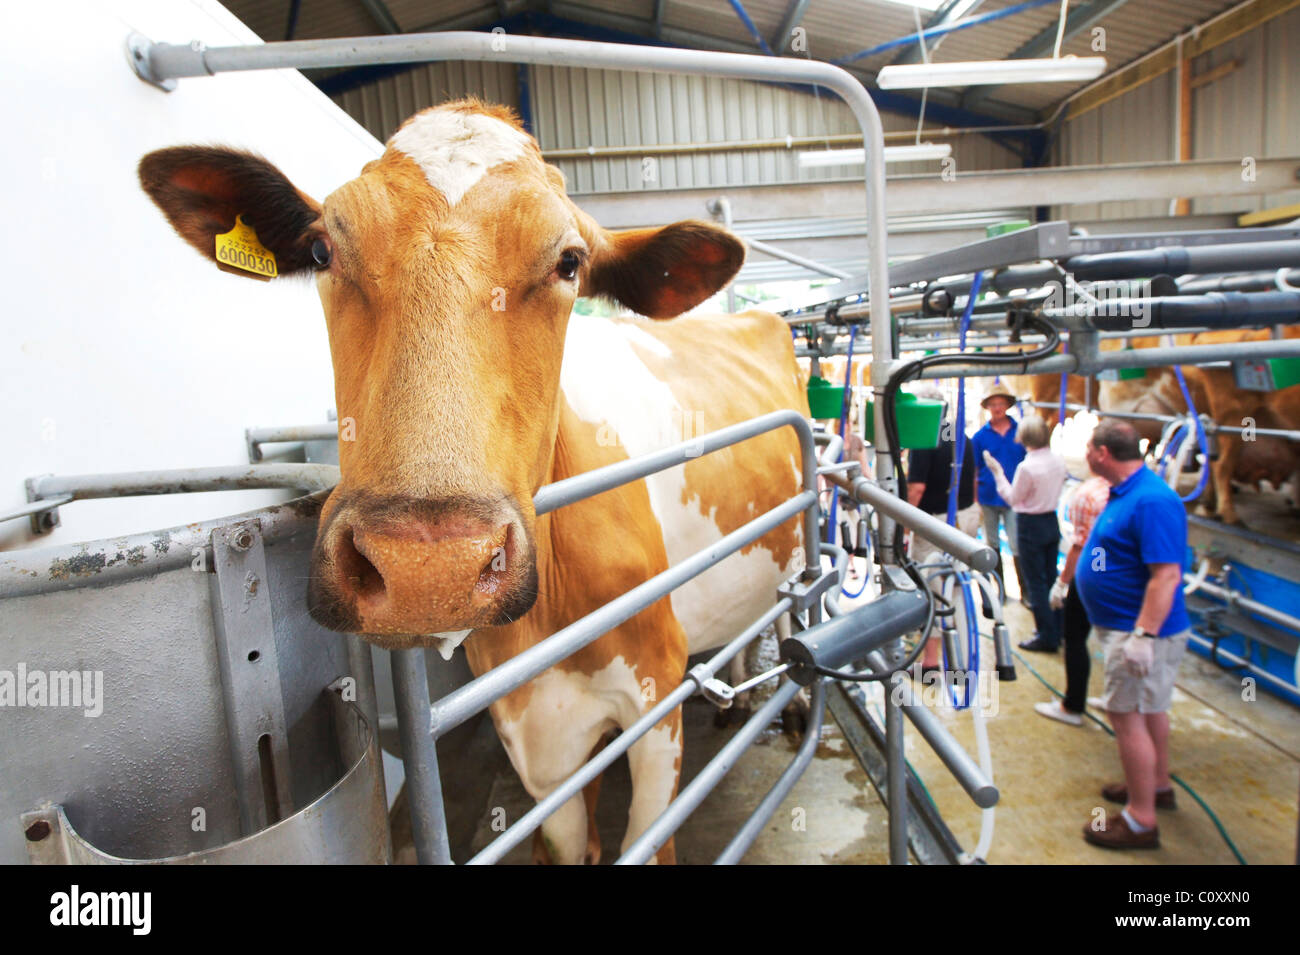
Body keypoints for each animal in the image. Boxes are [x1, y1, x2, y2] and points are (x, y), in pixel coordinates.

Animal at [142, 100, 811, 862]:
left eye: (570, 261)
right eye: (320, 252)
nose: (427, 567)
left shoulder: (654, 694)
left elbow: (649, 837)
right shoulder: (534, 726)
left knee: (788, 603)